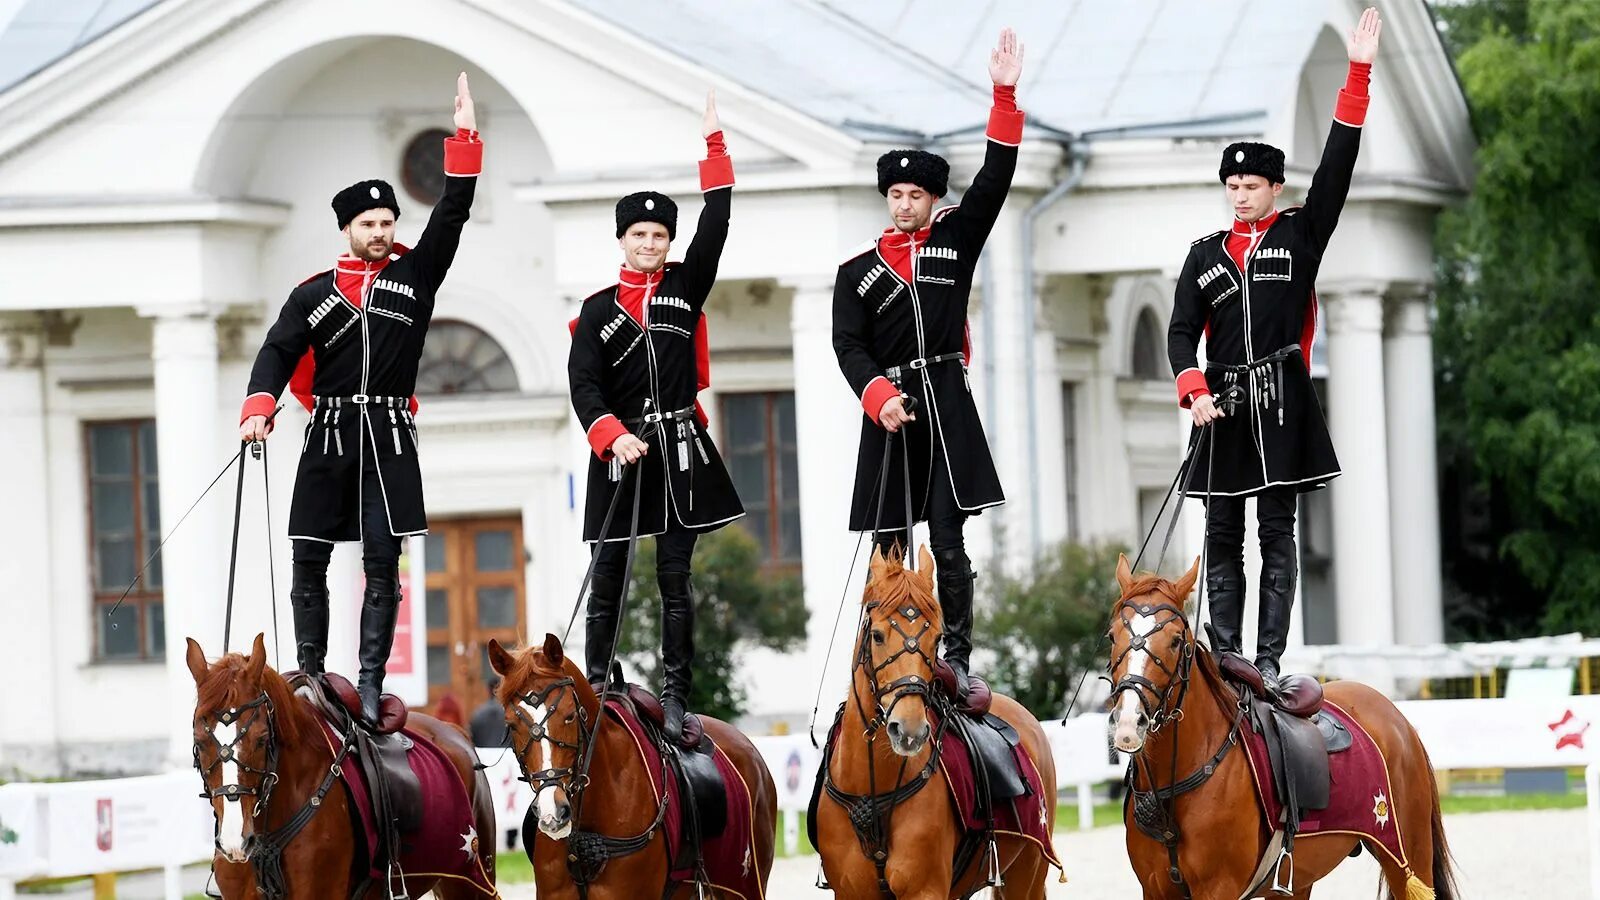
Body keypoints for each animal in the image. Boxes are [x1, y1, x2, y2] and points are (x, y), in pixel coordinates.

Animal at [812, 544, 1062, 896]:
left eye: (936, 639)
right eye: (877, 635)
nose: (910, 731)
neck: (870, 787)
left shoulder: (925, 890)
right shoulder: (850, 892)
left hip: (1028, 874)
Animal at [1107, 554, 1459, 896]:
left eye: (1176, 640)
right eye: (1112, 636)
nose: (1129, 722)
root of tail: (1395, 716)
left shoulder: (1218, 887)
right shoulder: (1154, 888)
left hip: (1408, 856)